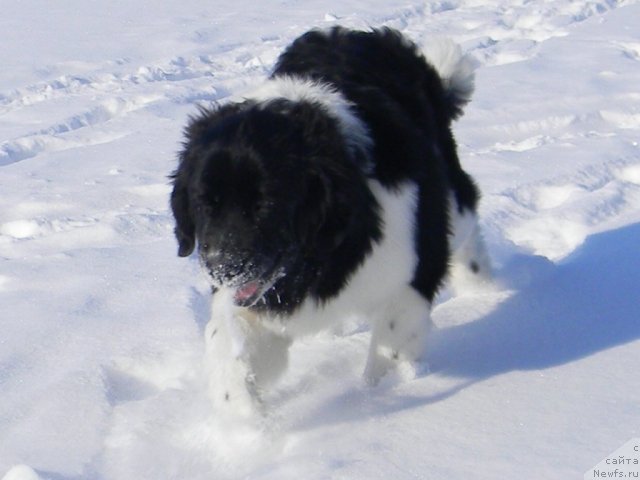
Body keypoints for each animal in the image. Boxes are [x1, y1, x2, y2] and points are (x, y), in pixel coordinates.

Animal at [170, 27, 490, 416]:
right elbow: (231, 345)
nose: (220, 267)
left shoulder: (411, 269)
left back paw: (483, 288)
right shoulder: (251, 300)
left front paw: (380, 394)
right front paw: (246, 419)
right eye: (204, 203)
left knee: (466, 212)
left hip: (448, 200)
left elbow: (391, 343)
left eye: (266, 204)